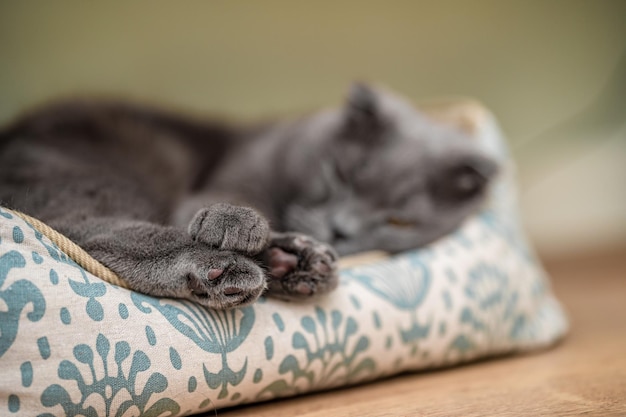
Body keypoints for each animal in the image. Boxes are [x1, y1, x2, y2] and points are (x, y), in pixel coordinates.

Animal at [0, 83, 498, 308]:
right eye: (341, 175)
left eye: (397, 222)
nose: (340, 231)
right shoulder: (229, 177)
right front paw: (238, 223)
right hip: (98, 170)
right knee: (91, 232)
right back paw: (227, 266)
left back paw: (289, 261)